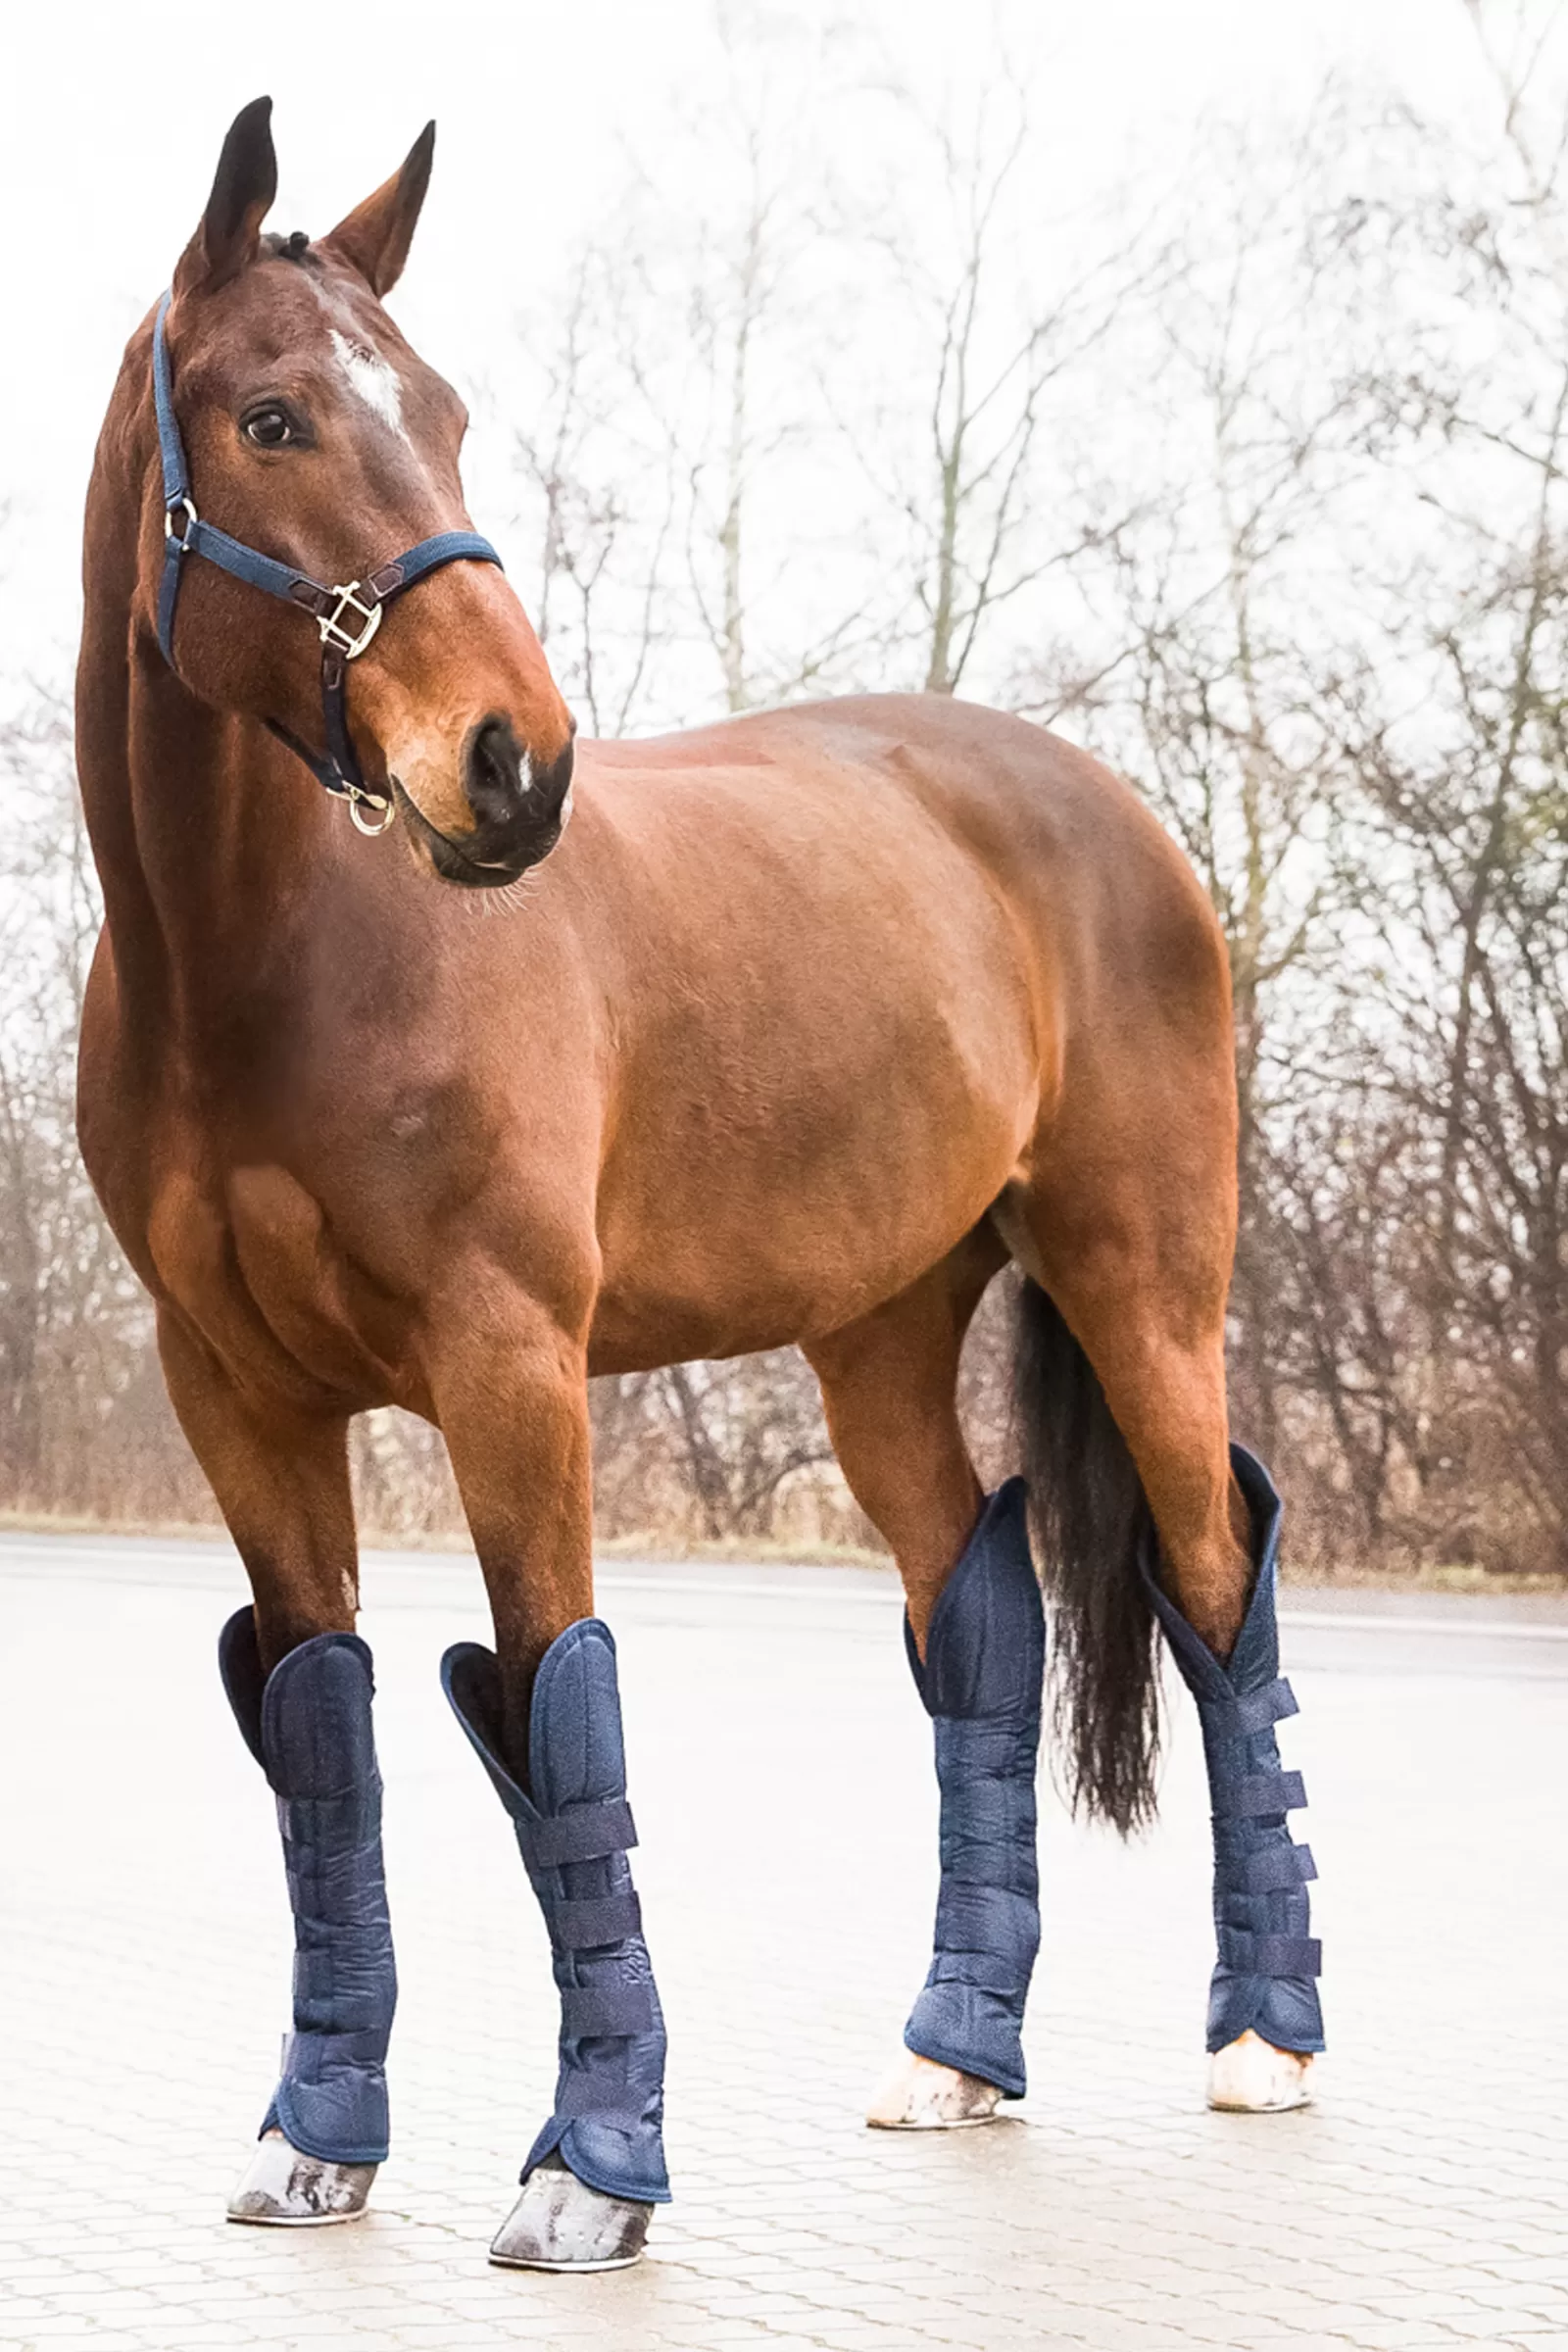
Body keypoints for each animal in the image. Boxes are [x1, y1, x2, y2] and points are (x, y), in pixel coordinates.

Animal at [75, 101, 1325, 2267]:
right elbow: (323, 1736)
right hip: (882, 1334)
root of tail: (1113, 818)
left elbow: (553, 1717)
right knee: (977, 1621)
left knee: (1211, 1579)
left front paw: (590, 2173)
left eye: (446, 415)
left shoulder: (509, 1368)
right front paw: (319, 2141)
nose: (516, 769)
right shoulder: (236, 1391)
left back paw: (1260, 2038)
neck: (262, 965)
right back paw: (954, 2058)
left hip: (1141, 1288)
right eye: (271, 418)